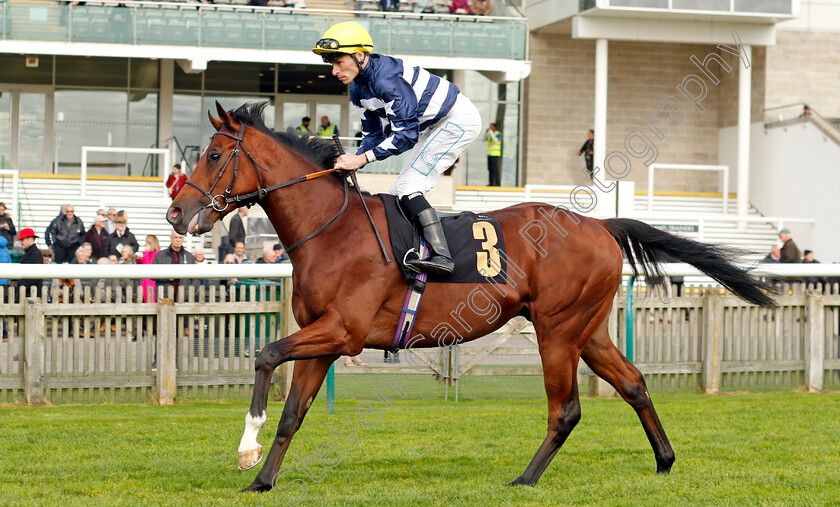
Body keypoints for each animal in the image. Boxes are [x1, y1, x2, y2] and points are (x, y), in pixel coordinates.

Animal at [167, 101, 776, 494]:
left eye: (216, 155)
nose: (175, 212)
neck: (332, 229)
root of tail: (600, 224)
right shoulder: (325, 336)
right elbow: (294, 411)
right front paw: (263, 479)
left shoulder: (343, 331)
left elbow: (265, 354)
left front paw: (245, 448)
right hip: (588, 328)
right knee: (633, 383)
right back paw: (665, 461)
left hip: (557, 329)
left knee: (566, 409)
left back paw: (526, 478)